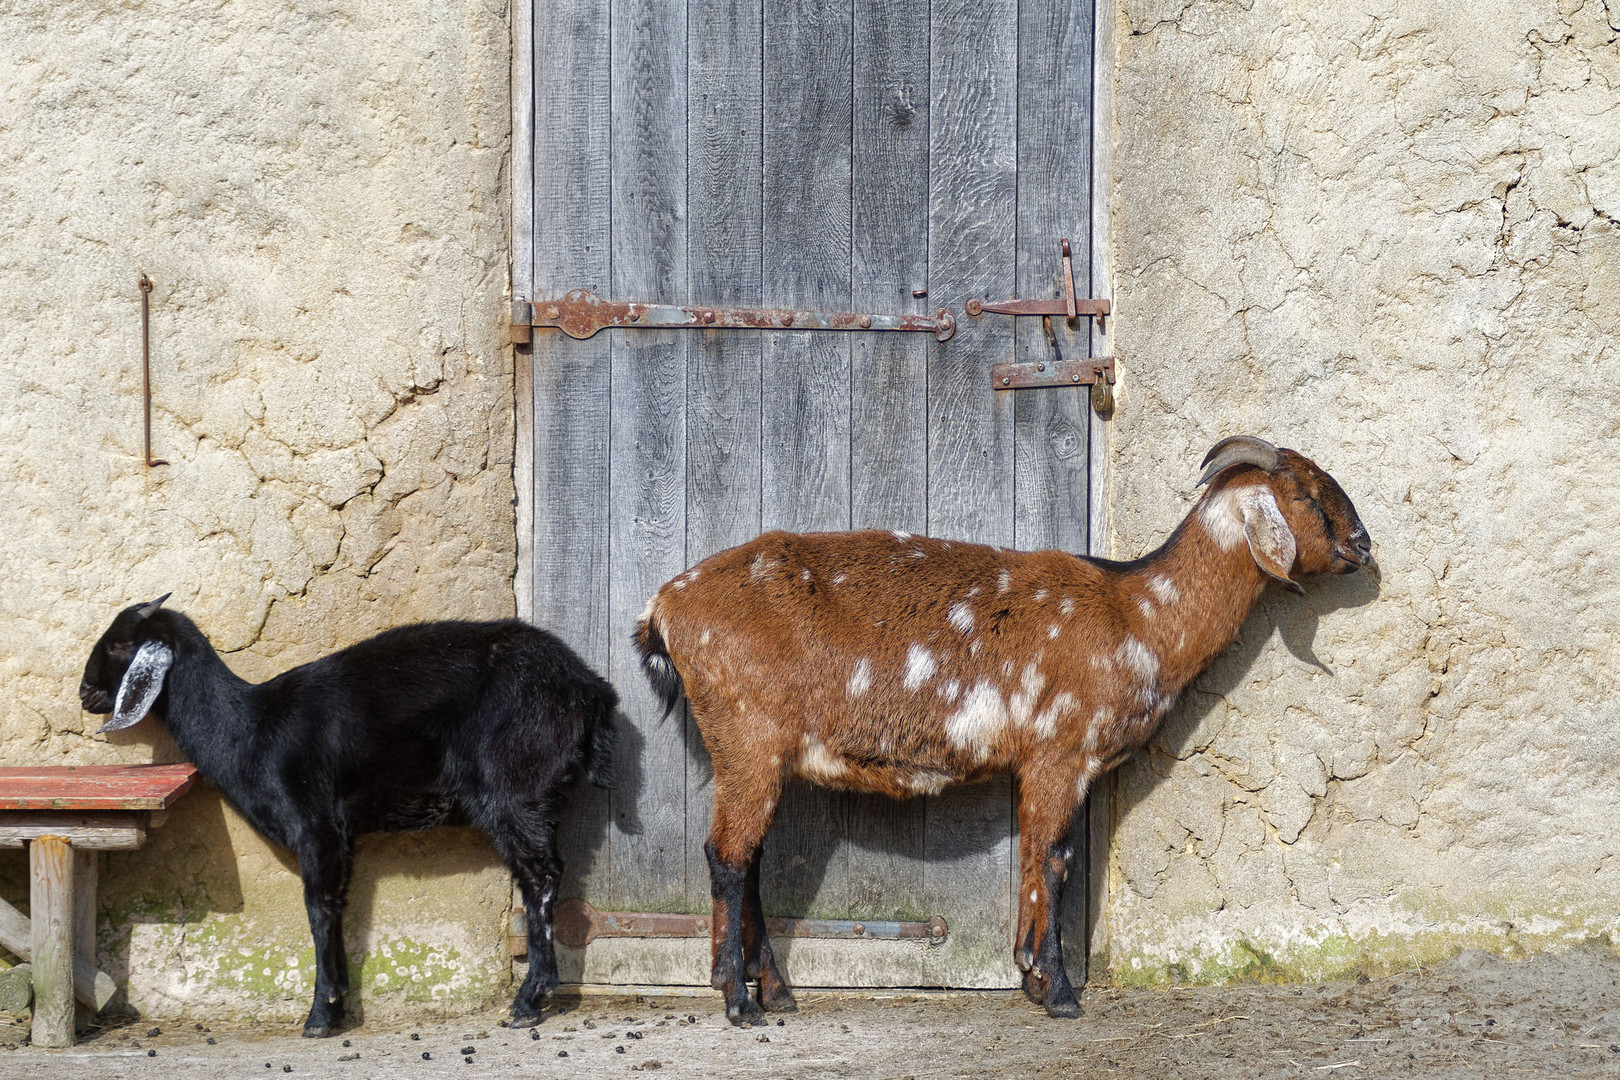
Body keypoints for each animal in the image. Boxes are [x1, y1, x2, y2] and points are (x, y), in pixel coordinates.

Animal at [74, 599, 612, 1036]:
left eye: (120, 645)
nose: (84, 693)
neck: (251, 728)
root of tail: (588, 687)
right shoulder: (342, 837)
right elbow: (338, 904)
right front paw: (339, 1003)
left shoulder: (316, 823)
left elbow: (319, 908)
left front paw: (321, 1014)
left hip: (515, 788)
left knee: (540, 877)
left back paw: (529, 1001)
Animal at [638, 437, 1373, 1023]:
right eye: (1305, 493)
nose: (1363, 546)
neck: (1137, 613)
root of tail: (665, 604)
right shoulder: (1062, 752)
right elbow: (1055, 860)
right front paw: (1060, 992)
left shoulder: (1036, 763)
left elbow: (1032, 858)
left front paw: (1029, 975)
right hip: (746, 737)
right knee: (727, 858)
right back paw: (737, 999)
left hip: (757, 752)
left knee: (749, 859)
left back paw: (777, 991)